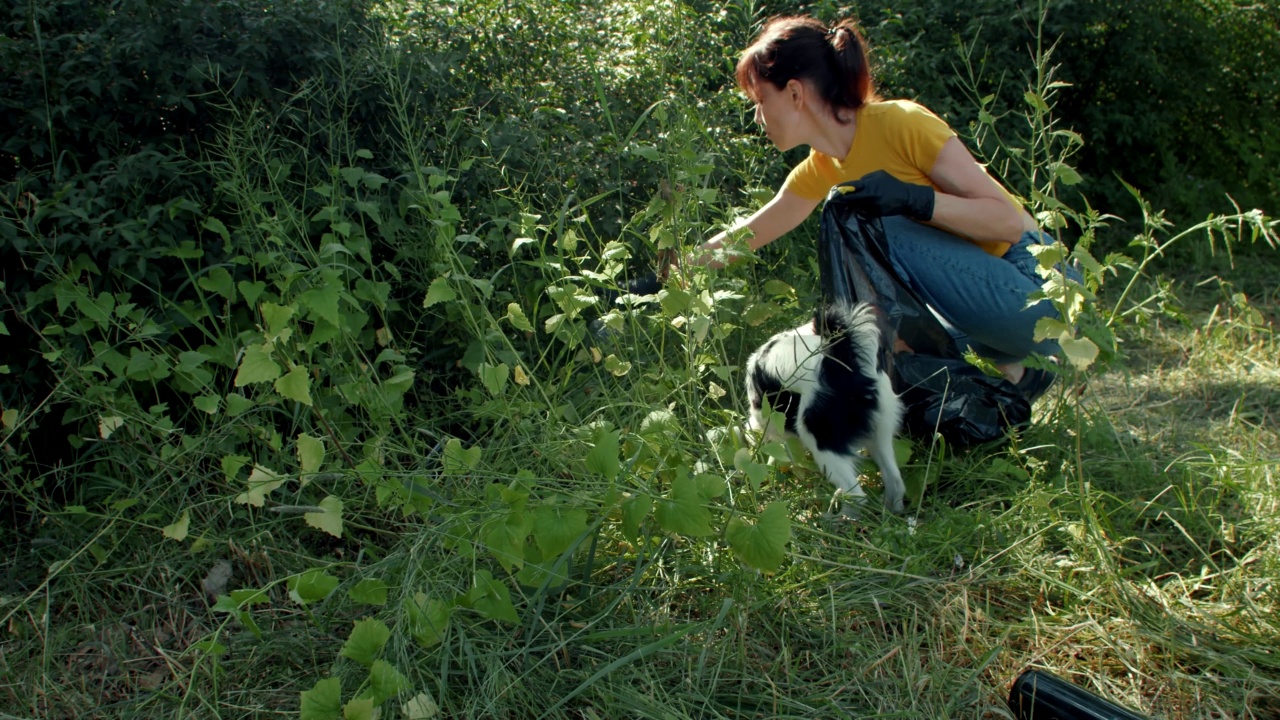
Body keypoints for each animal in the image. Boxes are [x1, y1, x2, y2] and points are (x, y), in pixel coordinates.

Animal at [747, 299, 906, 512]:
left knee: (856, 495)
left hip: (821, 440)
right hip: (881, 432)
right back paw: (891, 512)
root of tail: (844, 359)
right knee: (895, 481)